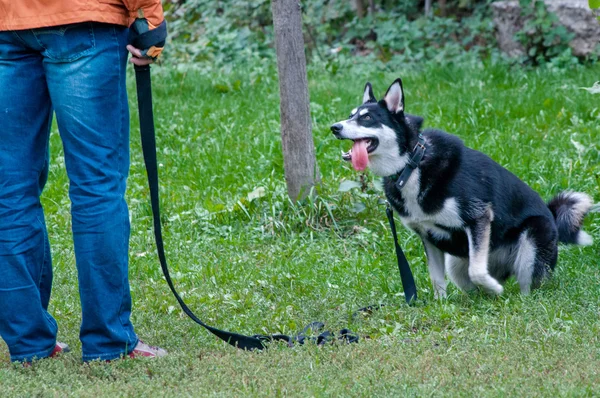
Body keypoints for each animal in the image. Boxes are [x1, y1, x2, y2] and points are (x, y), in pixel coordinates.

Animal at [330, 77, 592, 296]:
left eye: (367, 118)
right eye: (350, 115)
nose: (334, 127)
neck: (412, 165)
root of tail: (552, 216)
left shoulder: (478, 218)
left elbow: (477, 271)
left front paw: (494, 288)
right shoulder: (427, 235)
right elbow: (437, 279)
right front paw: (440, 304)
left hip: (531, 245)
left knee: (525, 287)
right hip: (455, 262)